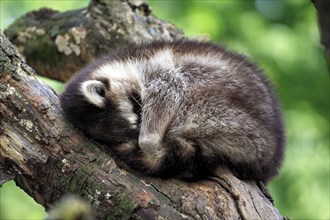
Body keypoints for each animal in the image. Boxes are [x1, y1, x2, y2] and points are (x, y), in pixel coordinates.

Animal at [60, 39, 286, 182]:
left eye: (138, 112)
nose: (140, 136)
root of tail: (269, 155)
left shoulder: (156, 67)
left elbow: (170, 86)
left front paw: (149, 141)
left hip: (223, 109)